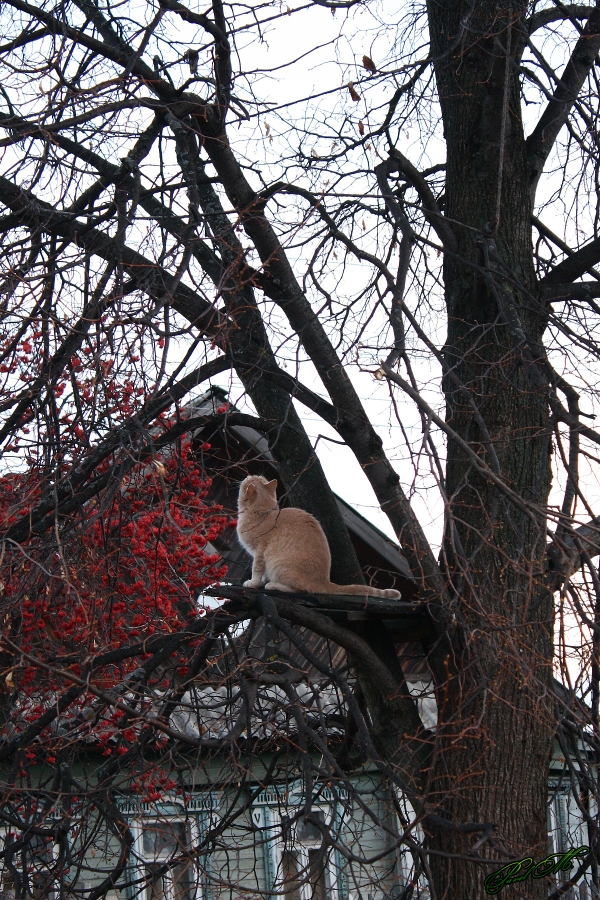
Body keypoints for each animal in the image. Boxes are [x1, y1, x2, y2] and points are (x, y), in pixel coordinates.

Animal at [237, 474, 400, 600]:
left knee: (301, 589)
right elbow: (263, 573)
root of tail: (324, 581)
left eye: (248, 479)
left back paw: (273, 585)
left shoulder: (259, 551)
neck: (262, 512)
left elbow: (257, 569)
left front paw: (253, 582)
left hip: (278, 564)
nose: (245, 476)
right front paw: (260, 582)